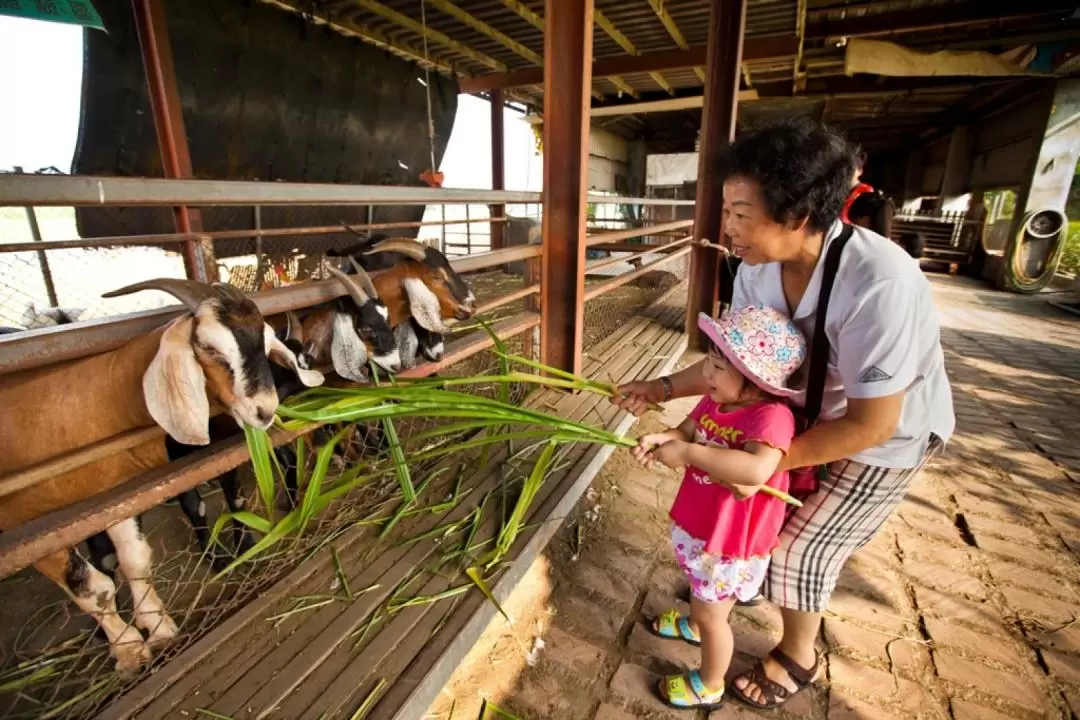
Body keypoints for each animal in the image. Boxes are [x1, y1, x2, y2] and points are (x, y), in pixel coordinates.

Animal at [0, 278, 321, 673]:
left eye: (263, 342)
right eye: (208, 347)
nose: (265, 410)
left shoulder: (115, 497)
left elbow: (136, 557)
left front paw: (158, 627)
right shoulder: (31, 526)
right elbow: (92, 584)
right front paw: (129, 647)